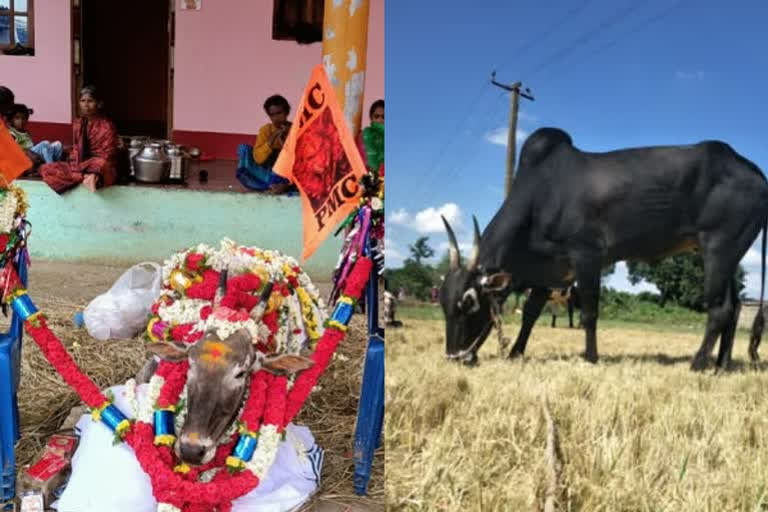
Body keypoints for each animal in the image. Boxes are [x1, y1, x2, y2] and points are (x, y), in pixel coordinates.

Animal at [438, 126, 768, 370]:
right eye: (442, 302)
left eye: (469, 302)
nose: (454, 357)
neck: (541, 193)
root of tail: (752, 169)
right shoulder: (550, 272)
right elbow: (531, 313)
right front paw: (515, 352)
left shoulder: (587, 254)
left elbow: (589, 313)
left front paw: (591, 357)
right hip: (726, 254)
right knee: (735, 307)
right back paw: (722, 365)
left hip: (718, 247)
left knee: (719, 309)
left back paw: (699, 363)